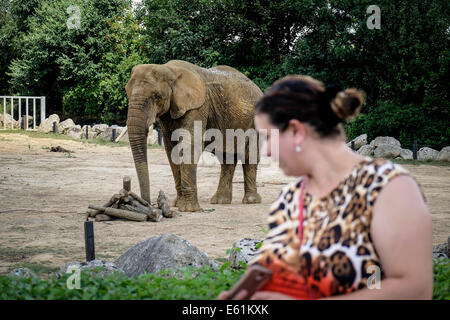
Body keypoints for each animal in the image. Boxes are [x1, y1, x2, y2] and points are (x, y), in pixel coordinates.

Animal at [125, 59, 262, 212]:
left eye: (157, 96)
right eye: (127, 92)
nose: (148, 204)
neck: (169, 69)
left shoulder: (198, 107)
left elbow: (189, 144)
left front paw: (188, 209)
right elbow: (171, 148)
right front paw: (178, 204)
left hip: (254, 122)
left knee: (249, 156)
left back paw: (251, 201)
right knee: (226, 158)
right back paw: (220, 201)